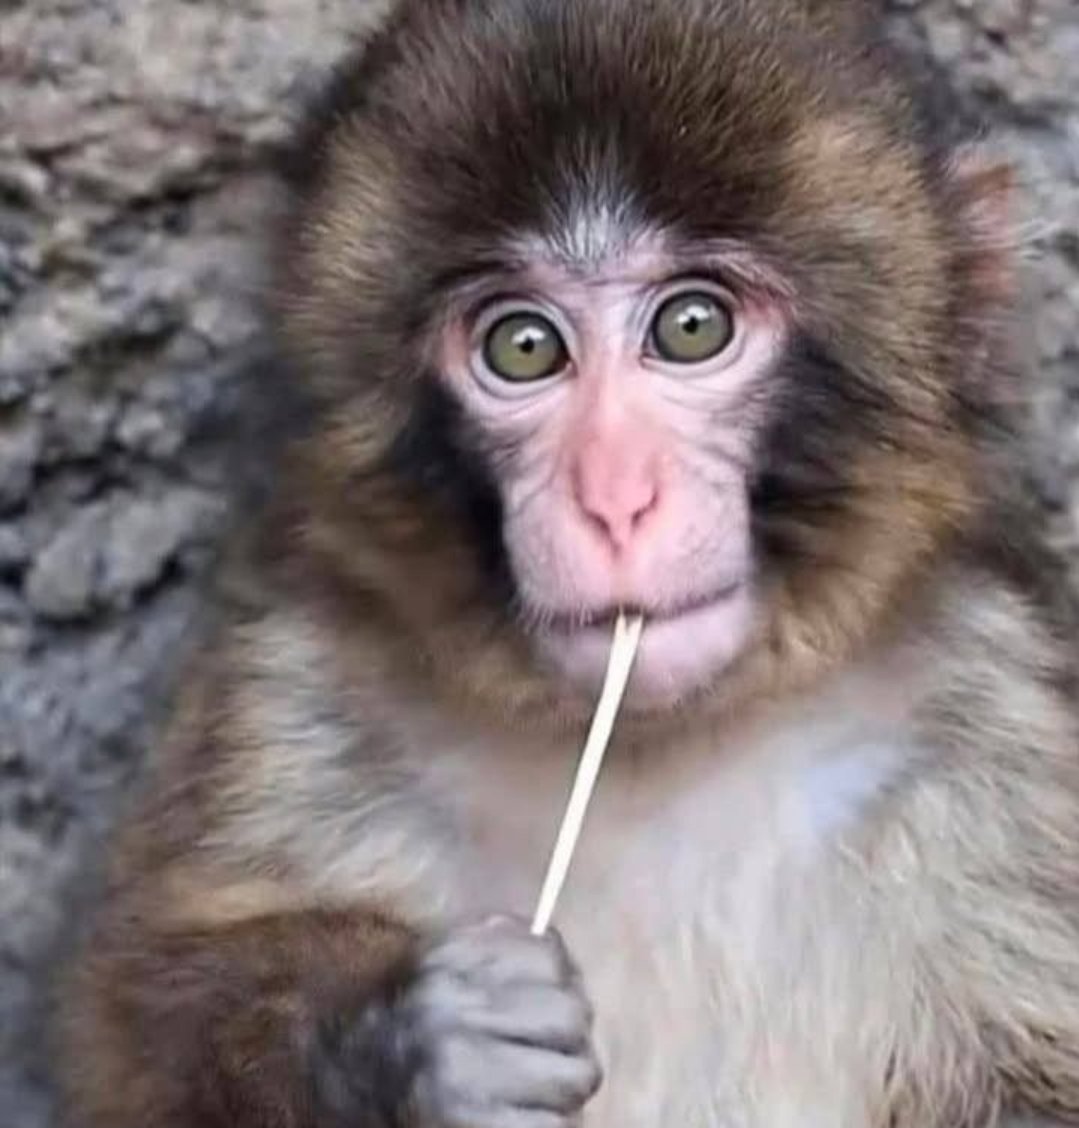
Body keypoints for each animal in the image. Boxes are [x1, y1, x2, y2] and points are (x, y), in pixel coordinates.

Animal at [56, 1, 1079, 1127]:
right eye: (523, 347)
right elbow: (140, 1035)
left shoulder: (999, 731)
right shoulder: (288, 687)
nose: (613, 500)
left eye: (691, 326)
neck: (658, 748)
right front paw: (410, 1042)